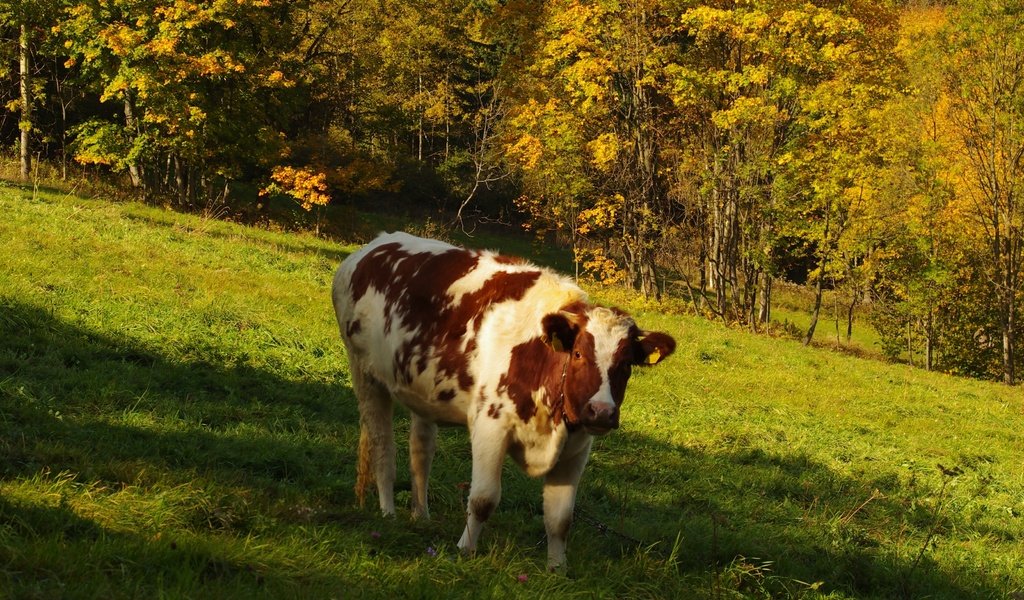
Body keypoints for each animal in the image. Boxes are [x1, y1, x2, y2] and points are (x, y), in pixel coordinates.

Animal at [331, 231, 675, 569]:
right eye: (578, 353)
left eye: (627, 364)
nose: (602, 412)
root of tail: (374, 246)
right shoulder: (490, 426)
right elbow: (483, 499)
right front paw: (465, 550)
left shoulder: (577, 447)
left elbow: (561, 518)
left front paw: (557, 570)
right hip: (366, 374)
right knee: (382, 446)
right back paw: (388, 512)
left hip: (422, 392)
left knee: (421, 453)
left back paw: (421, 515)